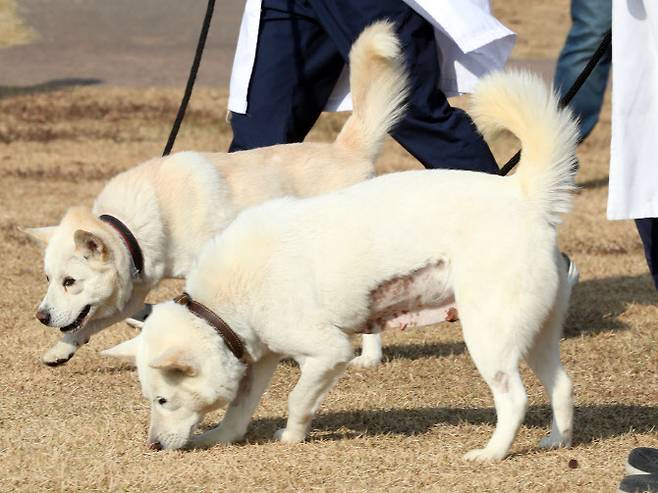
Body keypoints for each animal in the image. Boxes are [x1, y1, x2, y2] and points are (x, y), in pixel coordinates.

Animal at [23, 20, 408, 366]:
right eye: (48, 279)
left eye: (70, 281)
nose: (41, 316)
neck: (134, 226)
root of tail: (348, 150)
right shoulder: (136, 286)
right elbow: (96, 320)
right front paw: (61, 350)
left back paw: (368, 357)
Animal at [105, 70, 576, 462]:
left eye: (162, 400)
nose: (152, 445)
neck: (220, 307)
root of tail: (523, 194)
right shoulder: (260, 358)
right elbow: (239, 409)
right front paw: (221, 438)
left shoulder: (328, 352)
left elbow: (297, 400)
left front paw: (291, 438)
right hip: (535, 334)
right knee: (562, 384)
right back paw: (557, 440)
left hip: (488, 336)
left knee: (515, 399)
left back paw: (492, 453)